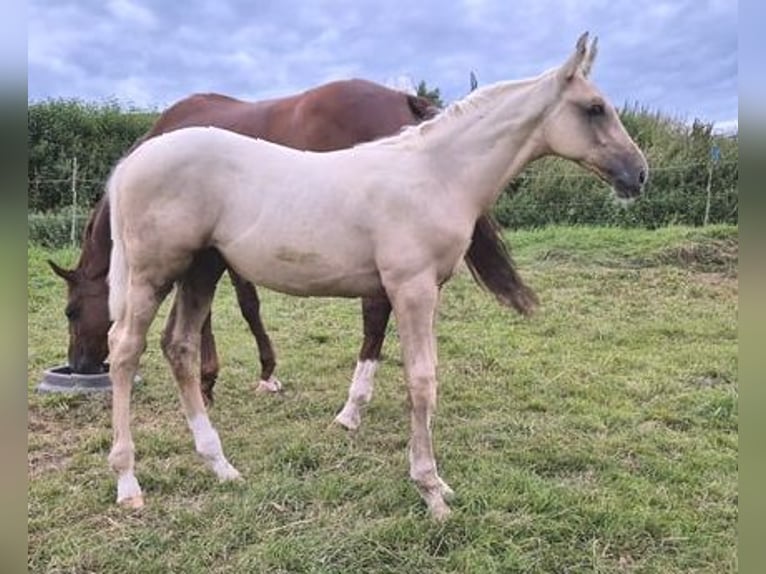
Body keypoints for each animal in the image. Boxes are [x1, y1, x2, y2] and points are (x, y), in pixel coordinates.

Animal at [49, 77, 540, 418]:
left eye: (71, 311)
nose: (79, 365)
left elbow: (239, 307)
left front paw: (229, 378)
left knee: (375, 314)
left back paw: (352, 405)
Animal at [106, 36, 648, 520]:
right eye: (595, 108)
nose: (639, 174)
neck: (436, 174)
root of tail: (132, 160)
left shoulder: (427, 291)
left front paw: (438, 485)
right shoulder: (412, 288)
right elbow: (421, 381)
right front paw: (430, 491)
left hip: (202, 268)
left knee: (179, 347)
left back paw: (220, 465)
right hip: (154, 273)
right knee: (126, 349)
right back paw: (128, 483)